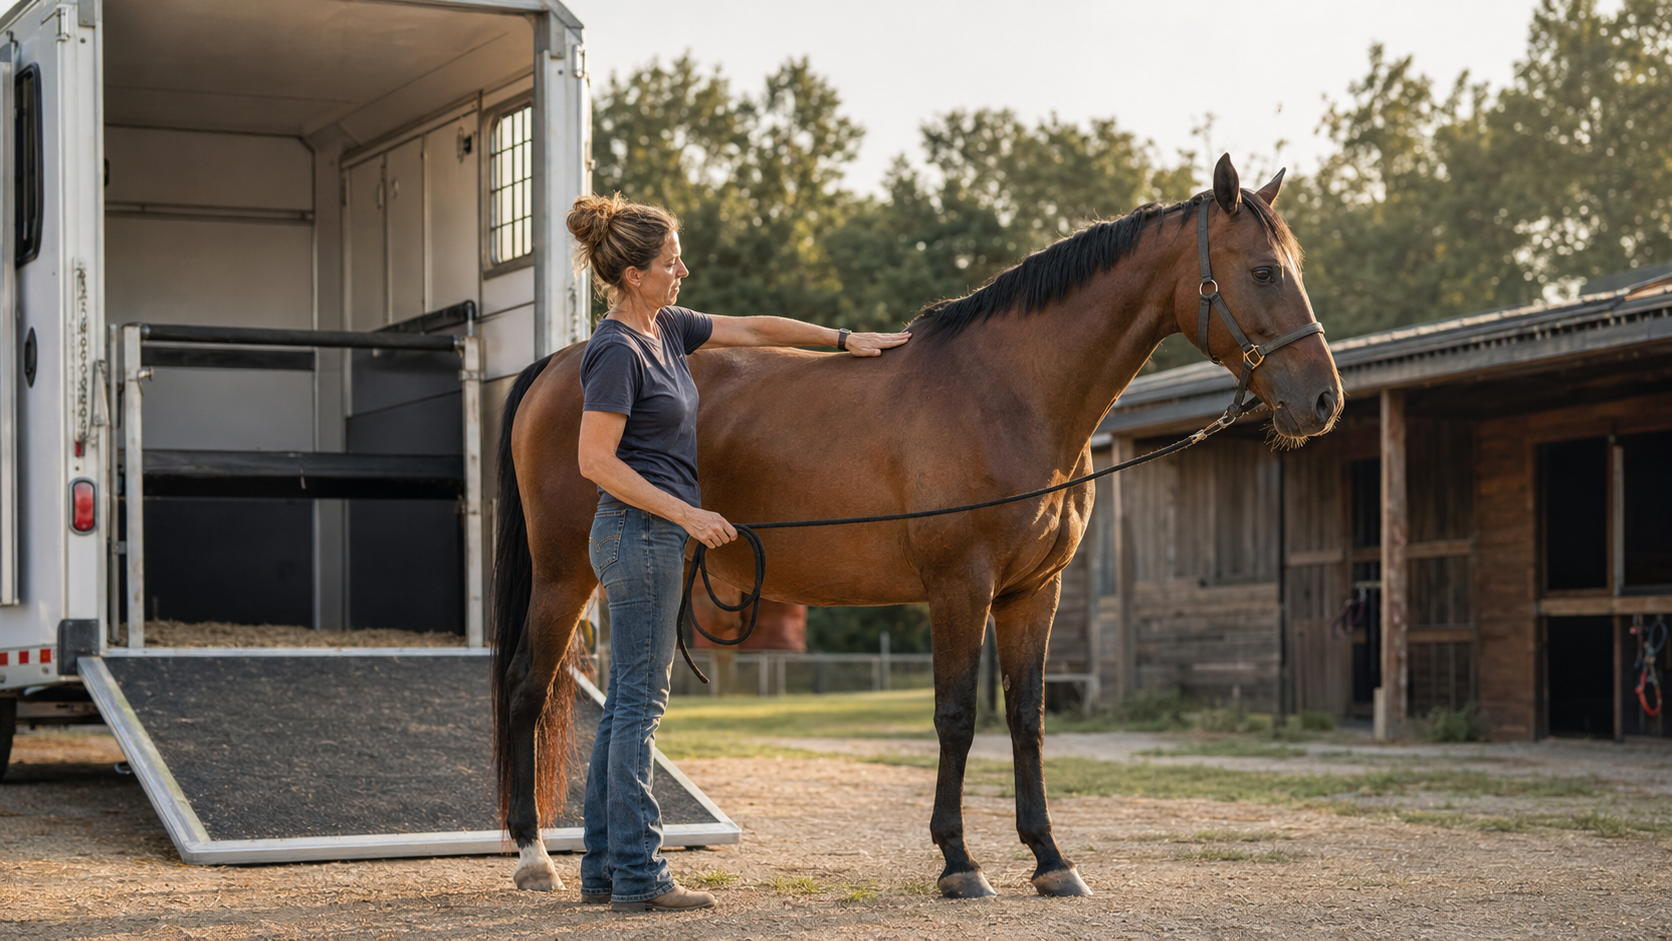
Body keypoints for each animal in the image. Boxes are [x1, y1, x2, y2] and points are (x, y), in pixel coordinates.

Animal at [490, 155, 1343, 898]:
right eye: (1263, 272)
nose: (1324, 401)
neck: (1006, 392)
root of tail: (562, 362)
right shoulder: (960, 587)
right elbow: (957, 718)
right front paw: (960, 862)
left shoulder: (1034, 593)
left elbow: (1026, 721)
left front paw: (1050, 858)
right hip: (565, 575)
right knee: (528, 688)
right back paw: (534, 855)